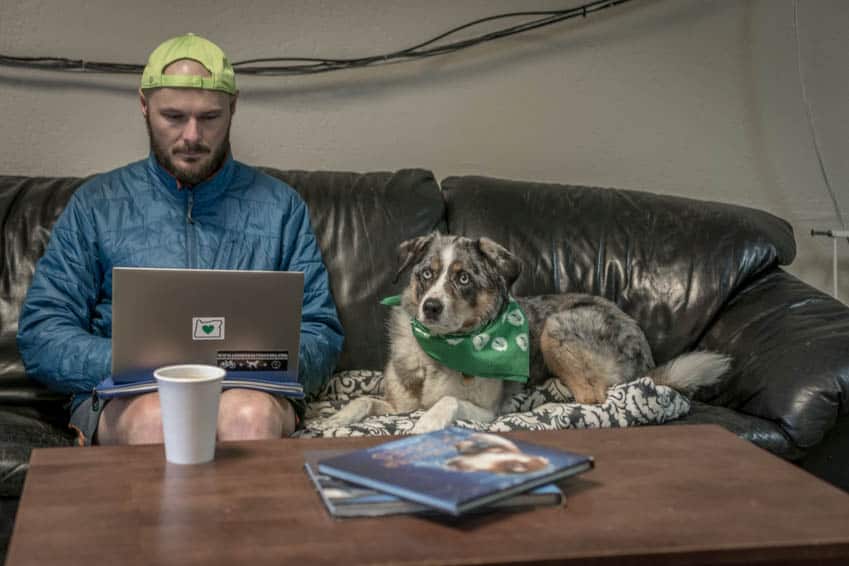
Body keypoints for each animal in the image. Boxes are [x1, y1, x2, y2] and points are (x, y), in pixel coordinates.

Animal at [324, 232, 728, 434]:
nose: (431, 307)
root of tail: (647, 357)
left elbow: (447, 401)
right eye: (427, 273)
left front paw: (427, 423)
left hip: (556, 327)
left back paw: (548, 405)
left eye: (463, 278)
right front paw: (333, 419)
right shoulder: (398, 404)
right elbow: (363, 401)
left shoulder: (485, 411)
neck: (438, 349)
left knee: (594, 397)